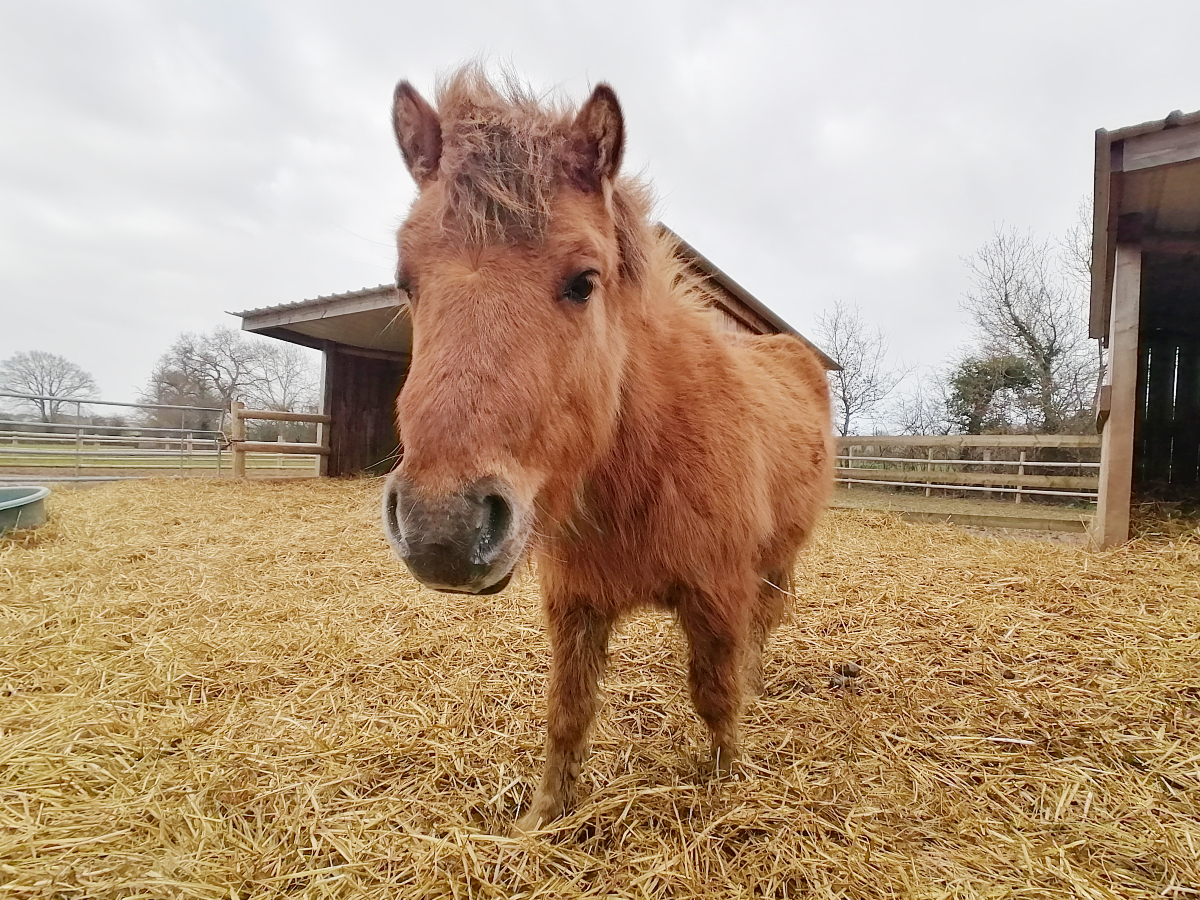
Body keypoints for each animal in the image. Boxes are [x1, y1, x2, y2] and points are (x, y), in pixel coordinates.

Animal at [379, 66, 830, 835]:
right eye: (407, 282)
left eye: (583, 281)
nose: (442, 529)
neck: (644, 460)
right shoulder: (576, 605)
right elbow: (568, 714)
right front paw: (543, 818)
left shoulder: (718, 592)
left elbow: (714, 695)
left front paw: (724, 784)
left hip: (775, 562)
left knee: (764, 627)